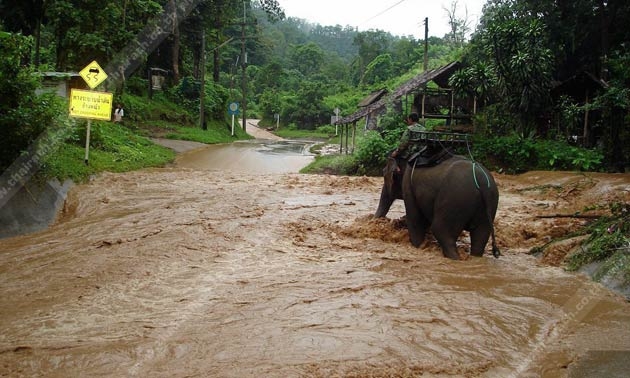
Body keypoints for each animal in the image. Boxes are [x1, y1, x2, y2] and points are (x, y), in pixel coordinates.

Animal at [376, 154, 504, 260]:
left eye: (383, 173)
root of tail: (482, 184)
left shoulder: (408, 185)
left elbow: (415, 221)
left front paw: (419, 246)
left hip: (454, 199)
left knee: (440, 230)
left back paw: (455, 258)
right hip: (489, 203)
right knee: (481, 236)